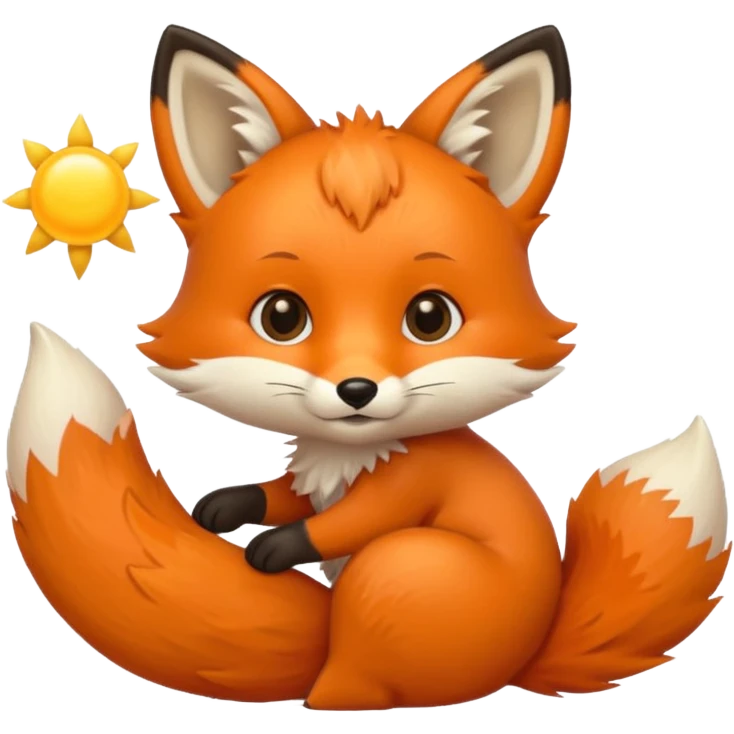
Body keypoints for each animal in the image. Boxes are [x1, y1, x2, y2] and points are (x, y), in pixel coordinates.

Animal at [5, 23, 732, 712]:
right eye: (282, 316)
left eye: (430, 317)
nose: (357, 390)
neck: (351, 456)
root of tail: (530, 651)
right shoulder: (315, 476)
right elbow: (282, 492)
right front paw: (229, 504)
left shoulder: (406, 485)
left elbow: (344, 521)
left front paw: (277, 547)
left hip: (395, 572)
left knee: (361, 674)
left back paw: (330, 693)